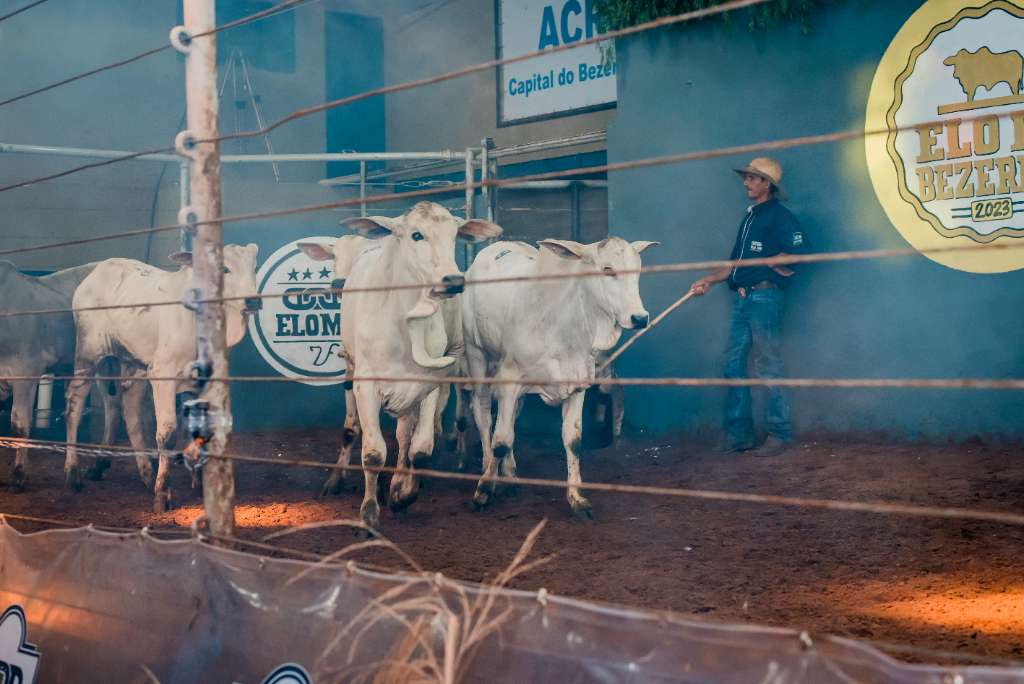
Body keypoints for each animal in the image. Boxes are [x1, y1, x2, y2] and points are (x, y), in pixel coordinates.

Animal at [63, 242, 258, 509]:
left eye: (253, 267)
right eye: (225, 268)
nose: (253, 300)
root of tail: (98, 271)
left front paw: (200, 482)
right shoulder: (162, 374)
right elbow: (167, 432)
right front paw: (163, 492)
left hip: (127, 363)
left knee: (123, 407)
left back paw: (136, 470)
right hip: (90, 355)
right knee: (76, 402)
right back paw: (73, 472)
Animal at [331, 200, 499, 528]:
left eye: (454, 235)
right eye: (416, 235)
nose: (453, 281)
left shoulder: (428, 385)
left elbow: (420, 448)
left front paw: (403, 495)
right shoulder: (366, 387)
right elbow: (373, 452)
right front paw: (369, 513)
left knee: (405, 435)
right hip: (352, 369)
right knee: (356, 429)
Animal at [462, 237, 655, 516]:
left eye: (638, 270)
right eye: (607, 269)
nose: (640, 318)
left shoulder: (577, 385)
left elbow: (573, 441)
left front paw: (577, 498)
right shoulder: (509, 379)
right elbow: (501, 439)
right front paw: (484, 490)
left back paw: (510, 476)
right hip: (477, 355)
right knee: (484, 414)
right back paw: (490, 469)